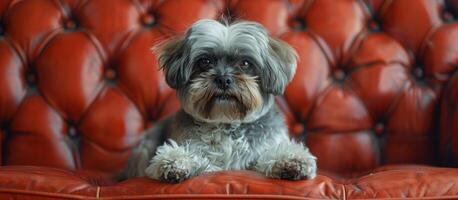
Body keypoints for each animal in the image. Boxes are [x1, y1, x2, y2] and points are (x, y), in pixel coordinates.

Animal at [124, 18, 318, 183]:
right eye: (205, 61)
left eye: (245, 63)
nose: (223, 79)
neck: (226, 122)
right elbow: (200, 159)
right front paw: (176, 161)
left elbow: (268, 155)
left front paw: (290, 160)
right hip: (144, 148)